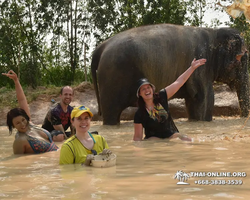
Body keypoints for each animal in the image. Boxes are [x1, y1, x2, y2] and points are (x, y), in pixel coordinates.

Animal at [91, 23, 249, 125]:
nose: (244, 119)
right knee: (111, 112)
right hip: (113, 77)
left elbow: (193, 100)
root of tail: (101, 47)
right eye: (242, 59)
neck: (213, 33)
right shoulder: (202, 64)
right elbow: (205, 97)